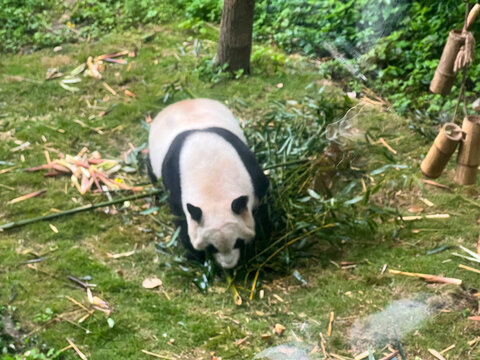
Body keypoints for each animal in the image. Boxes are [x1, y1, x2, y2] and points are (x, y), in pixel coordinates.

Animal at [148, 99, 268, 270]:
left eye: (237, 242)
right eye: (212, 247)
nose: (229, 266)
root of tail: (182, 101)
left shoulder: (250, 171)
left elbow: (263, 198)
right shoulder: (175, 186)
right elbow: (181, 221)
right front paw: (195, 255)